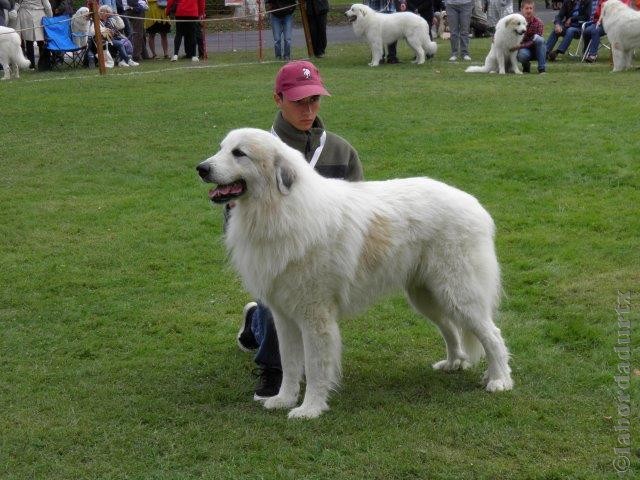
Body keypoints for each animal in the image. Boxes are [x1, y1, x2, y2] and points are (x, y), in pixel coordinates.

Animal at [196, 127, 516, 420]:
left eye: (239, 153)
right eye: (221, 149)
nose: (201, 168)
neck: (279, 209)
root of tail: (475, 205)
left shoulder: (315, 316)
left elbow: (315, 367)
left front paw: (310, 409)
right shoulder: (283, 316)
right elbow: (289, 364)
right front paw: (283, 399)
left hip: (458, 294)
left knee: (492, 334)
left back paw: (499, 379)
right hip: (426, 296)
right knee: (451, 329)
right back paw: (453, 363)